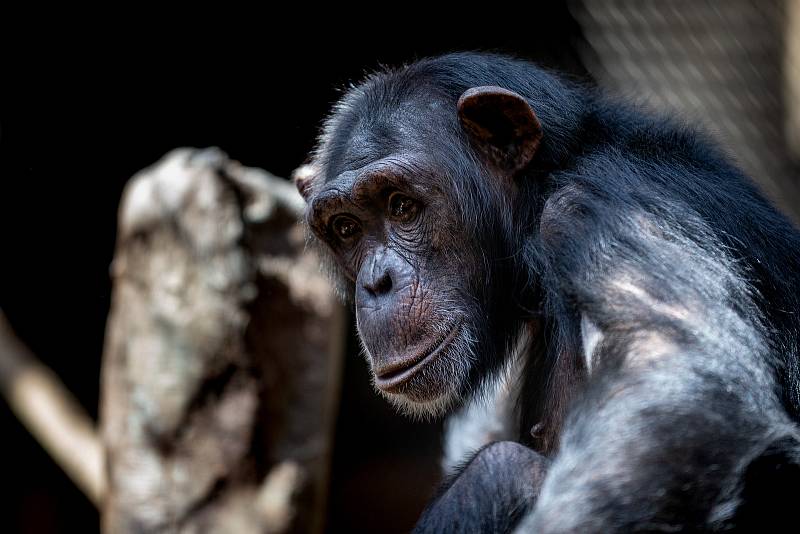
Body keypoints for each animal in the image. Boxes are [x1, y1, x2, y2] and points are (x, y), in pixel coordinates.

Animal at [294, 53, 800, 534]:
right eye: (346, 227)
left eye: (401, 205)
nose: (378, 282)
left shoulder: (601, 206)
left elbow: (685, 388)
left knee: (502, 470)